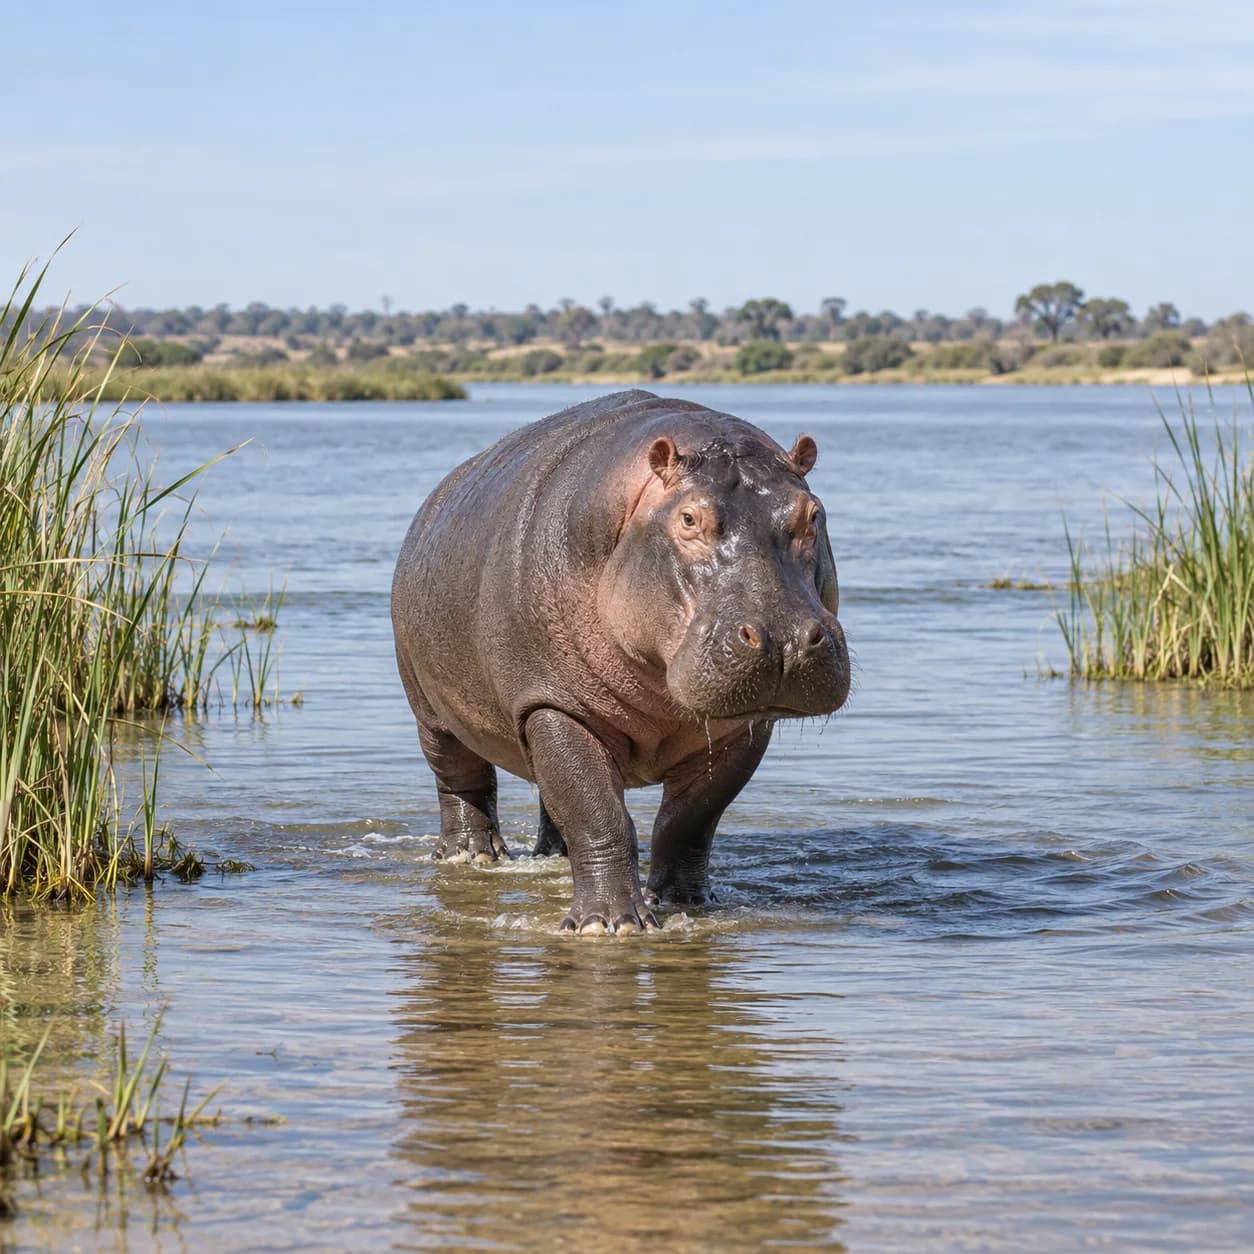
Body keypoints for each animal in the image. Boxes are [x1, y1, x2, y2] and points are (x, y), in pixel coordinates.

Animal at [391, 390, 850, 935]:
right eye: (688, 519)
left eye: (813, 514)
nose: (785, 640)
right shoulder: (552, 704)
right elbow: (598, 814)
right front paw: (610, 925)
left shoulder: (742, 727)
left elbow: (689, 820)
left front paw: (686, 901)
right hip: (431, 709)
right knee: (460, 778)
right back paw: (472, 855)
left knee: (549, 793)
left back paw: (551, 857)